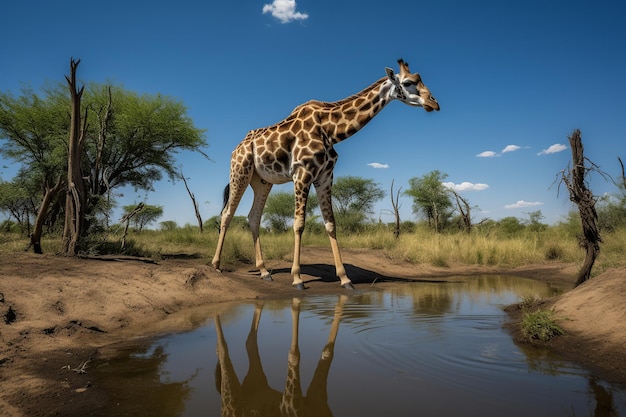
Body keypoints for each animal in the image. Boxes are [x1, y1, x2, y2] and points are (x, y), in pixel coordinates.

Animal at [212, 58, 436, 288]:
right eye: (408, 82)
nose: (434, 103)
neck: (331, 131)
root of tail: (236, 148)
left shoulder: (325, 177)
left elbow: (331, 224)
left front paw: (345, 278)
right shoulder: (301, 173)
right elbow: (299, 224)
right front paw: (297, 278)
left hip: (262, 181)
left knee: (253, 217)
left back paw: (265, 271)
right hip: (240, 171)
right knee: (227, 213)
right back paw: (217, 264)